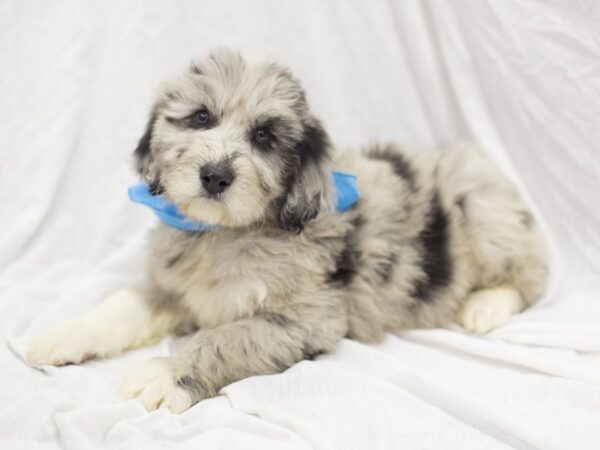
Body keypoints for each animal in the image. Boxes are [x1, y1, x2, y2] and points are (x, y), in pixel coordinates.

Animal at [25, 48, 548, 412]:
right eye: (200, 117)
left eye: (264, 136)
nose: (215, 175)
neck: (223, 234)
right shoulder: (173, 285)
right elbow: (120, 306)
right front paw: (64, 335)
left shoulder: (305, 318)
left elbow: (222, 339)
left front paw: (167, 373)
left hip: (482, 212)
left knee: (531, 276)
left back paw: (485, 305)